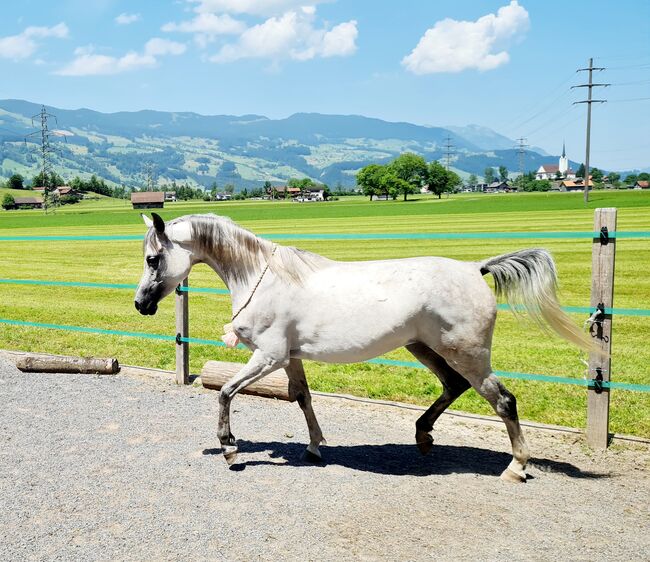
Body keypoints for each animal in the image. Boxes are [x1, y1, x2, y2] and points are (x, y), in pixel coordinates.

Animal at [134, 212, 588, 480]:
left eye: (153, 259)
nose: (140, 304)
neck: (265, 278)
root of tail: (474, 269)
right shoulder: (290, 358)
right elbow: (302, 397)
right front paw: (315, 447)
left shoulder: (269, 356)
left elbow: (226, 392)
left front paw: (230, 450)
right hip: (424, 348)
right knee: (453, 386)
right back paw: (423, 437)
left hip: (468, 355)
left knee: (504, 400)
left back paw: (516, 467)